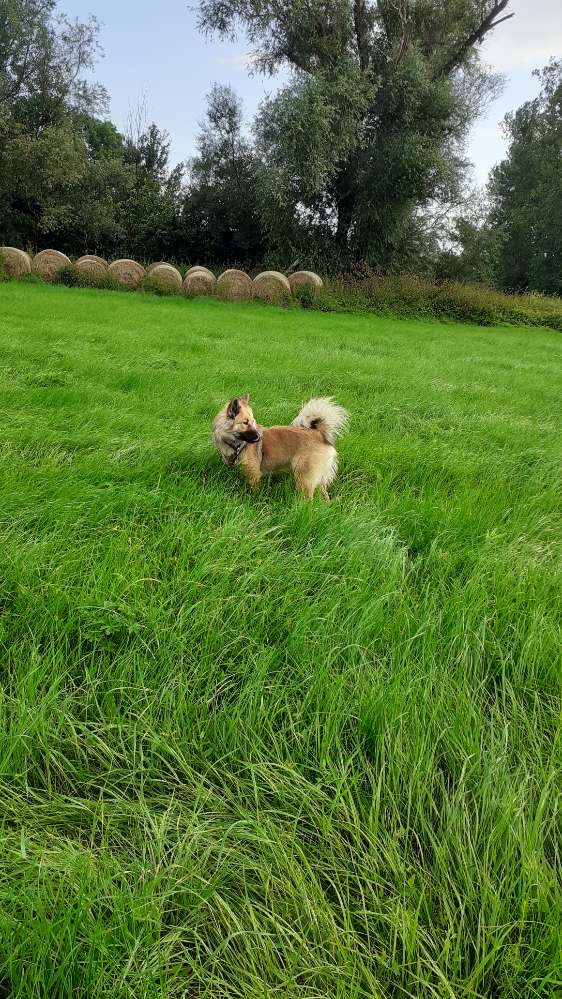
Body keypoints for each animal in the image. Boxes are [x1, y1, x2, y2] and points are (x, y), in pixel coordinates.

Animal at [212, 392, 348, 498]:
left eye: (253, 422)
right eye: (245, 423)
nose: (259, 436)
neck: (236, 444)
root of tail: (319, 434)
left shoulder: (253, 474)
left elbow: (254, 492)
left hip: (304, 478)